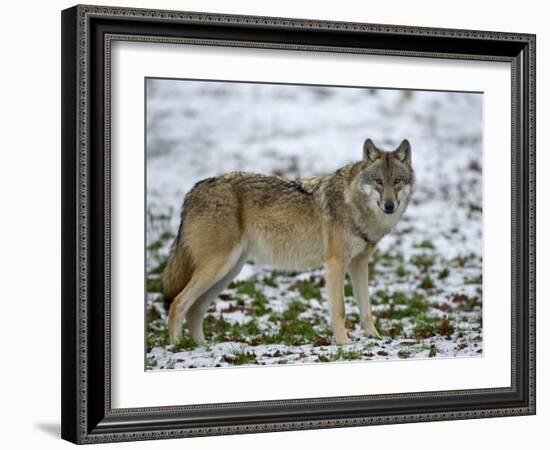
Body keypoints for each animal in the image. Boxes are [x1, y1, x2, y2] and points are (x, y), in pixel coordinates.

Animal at [164, 139, 418, 346]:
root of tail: (193, 191)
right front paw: (344, 343)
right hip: (219, 267)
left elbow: (366, 309)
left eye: (397, 181)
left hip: (228, 272)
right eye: (378, 181)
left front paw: (375, 338)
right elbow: (341, 310)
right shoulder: (335, 264)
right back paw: (178, 345)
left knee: (195, 310)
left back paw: (202, 347)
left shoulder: (359, 263)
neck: (354, 204)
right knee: (178, 303)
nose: (389, 206)